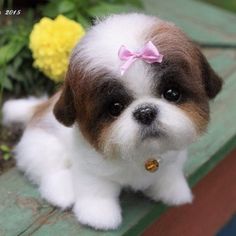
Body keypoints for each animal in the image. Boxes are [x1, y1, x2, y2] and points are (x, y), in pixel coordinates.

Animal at [2, 13, 222, 230]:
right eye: (115, 107)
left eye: (172, 94)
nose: (145, 112)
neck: (141, 155)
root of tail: (39, 108)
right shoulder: (90, 168)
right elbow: (97, 189)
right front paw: (99, 215)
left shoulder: (172, 159)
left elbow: (169, 173)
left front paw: (173, 191)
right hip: (43, 145)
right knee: (49, 169)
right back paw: (63, 191)